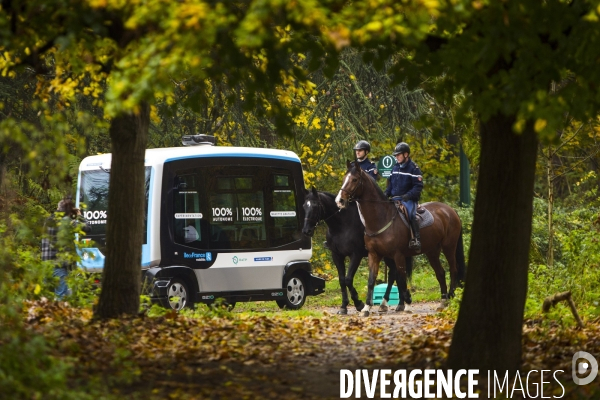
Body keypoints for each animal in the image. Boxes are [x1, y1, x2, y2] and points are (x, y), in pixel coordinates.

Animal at [300, 188, 412, 316]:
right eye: (304, 206)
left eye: (315, 205)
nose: (306, 231)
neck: (341, 225)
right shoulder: (337, 256)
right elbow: (342, 280)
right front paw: (343, 306)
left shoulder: (355, 255)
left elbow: (348, 279)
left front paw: (359, 304)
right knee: (394, 273)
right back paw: (393, 304)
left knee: (396, 274)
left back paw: (398, 304)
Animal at [336, 162, 466, 316]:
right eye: (344, 178)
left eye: (354, 180)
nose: (339, 200)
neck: (381, 218)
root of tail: (450, 210)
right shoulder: (374, 255)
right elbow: (371, 280)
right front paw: (367, 307)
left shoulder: (398, 255)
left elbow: (402, 278)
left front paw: (407, 304)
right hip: (432, 251)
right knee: (440, 273)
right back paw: (443, 301)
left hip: (449, 247)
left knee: (453, 270)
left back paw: (451, 296)